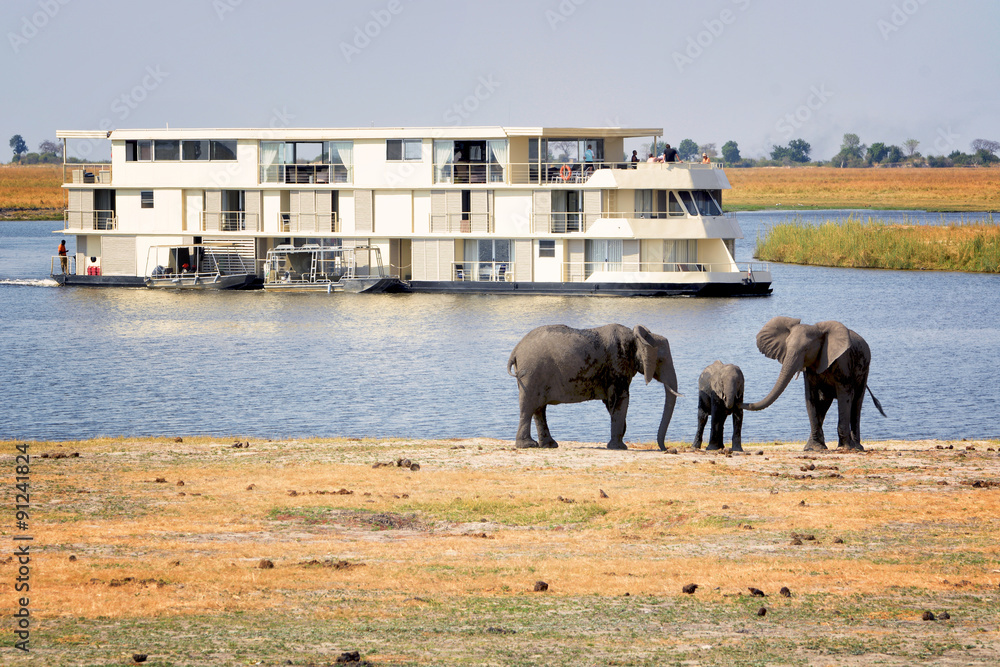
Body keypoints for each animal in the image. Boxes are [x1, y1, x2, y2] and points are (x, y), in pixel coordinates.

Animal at [507, 323, 681, 450]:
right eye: (661, 360)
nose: (668, 449)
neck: (636, 337)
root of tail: (515, 350)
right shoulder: (617, 365)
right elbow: (621, 399)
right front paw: (619, 447)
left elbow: (610, 403)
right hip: (531, 373)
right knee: (529, 407)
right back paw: (528, 445)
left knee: (539, 408)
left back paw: (549, 445)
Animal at [742, 316, 885, 451]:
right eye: (786, 346)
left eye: (806, 349)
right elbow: (810, 397)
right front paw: (813, 448)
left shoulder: (843, 362)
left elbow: (845, 396)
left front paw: (845, 447)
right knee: (824, 403)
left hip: (865, 369)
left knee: (856, 402)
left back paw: (857, 447)